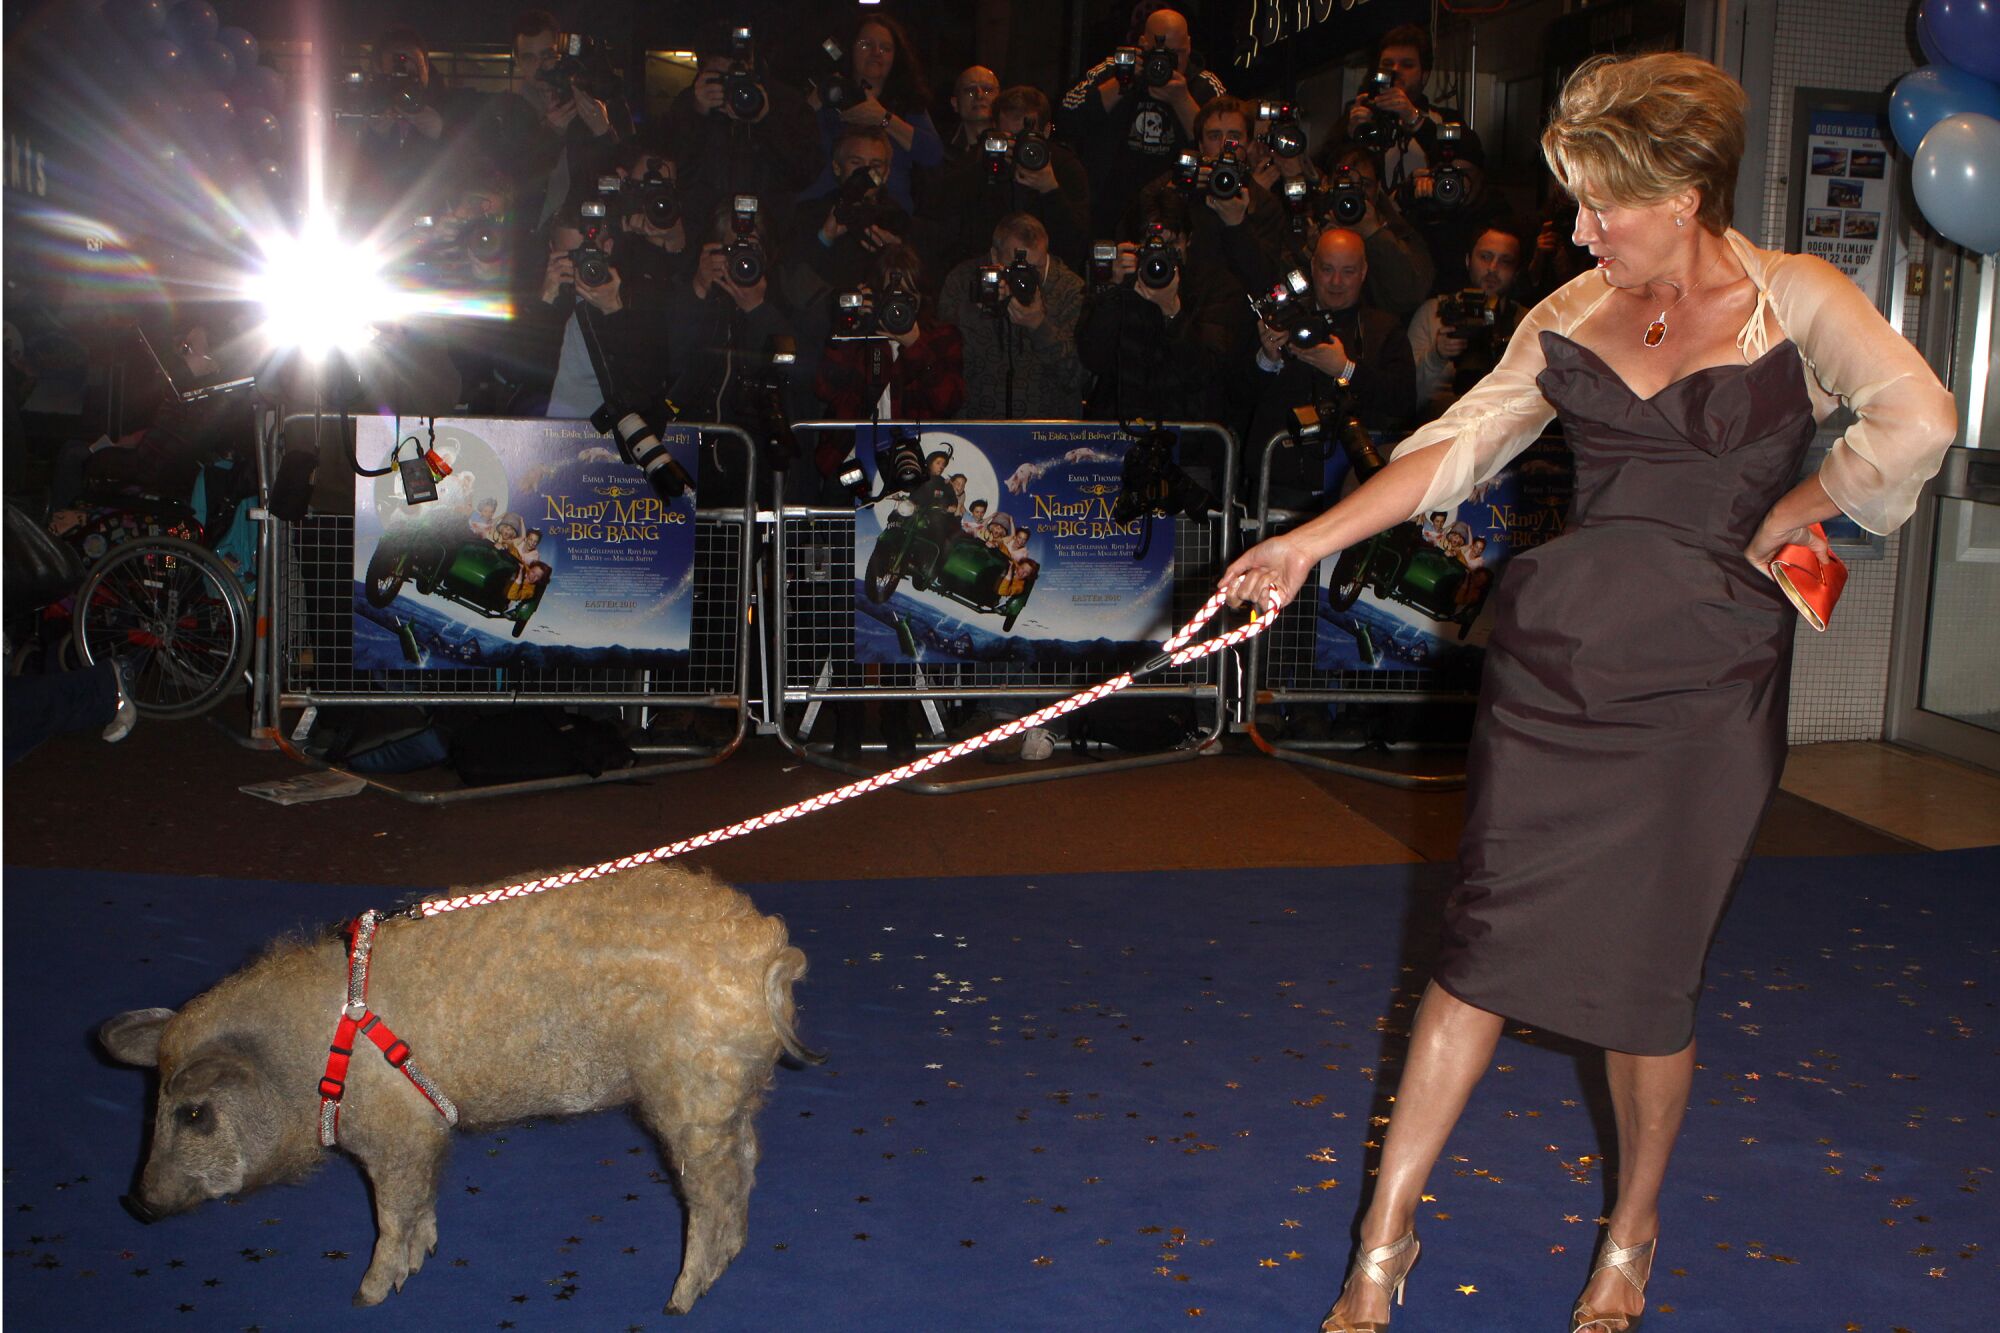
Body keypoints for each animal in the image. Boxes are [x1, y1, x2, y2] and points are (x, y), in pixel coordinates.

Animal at [99, 860, 820, 1304]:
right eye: (154, 1106)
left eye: (194, 1114)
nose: (135, 1204)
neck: (304, 1063)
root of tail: (771, 954)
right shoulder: (418, 1135)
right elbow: (418, 1208)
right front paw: (417, 1262)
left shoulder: (398, 1134)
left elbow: (393, 1212)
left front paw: (365, 1295)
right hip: (729, 1095)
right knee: (747, 1165)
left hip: (692, 1098)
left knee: (714, 1192)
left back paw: (676, 1300)